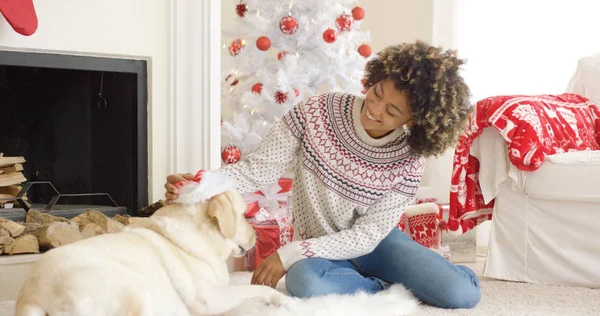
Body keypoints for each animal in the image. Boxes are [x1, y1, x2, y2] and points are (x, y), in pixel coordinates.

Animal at [15, 186, 292, 314]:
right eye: (244, 214)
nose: (256, 234)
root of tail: (34, 296)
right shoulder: (209, 297)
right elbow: (257, 289)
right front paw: (285, 301)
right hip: (137, 290)